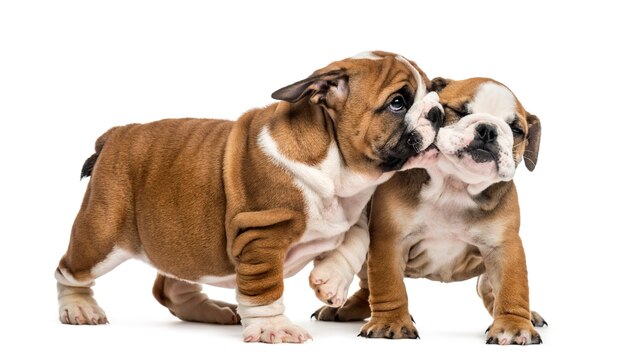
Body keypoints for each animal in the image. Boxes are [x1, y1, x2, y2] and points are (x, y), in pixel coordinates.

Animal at [54, 50, 444, 344]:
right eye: (398, 103)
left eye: (433, 93)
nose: (438, 112)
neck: (338, 166)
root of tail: (116, 134)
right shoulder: (261, 235)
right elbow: (264, 287)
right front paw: (273, 327)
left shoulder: (358, 210)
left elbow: (356, 238)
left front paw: (330, 280)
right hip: (102, 233)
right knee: (69, 270)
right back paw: (78, 309)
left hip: (181, 240)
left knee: (172, 286)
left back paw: (210, 311)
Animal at [314, 77, 544, 344]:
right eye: (459, 111)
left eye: (516, 130)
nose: (487, 130)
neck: (455, 186)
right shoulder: (390, 240)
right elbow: (388, 284)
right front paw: (390, 322)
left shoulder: (504, 247)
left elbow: (512, 287)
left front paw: (513, 326)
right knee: (367, 287)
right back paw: (346, 308)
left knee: (488, 290)